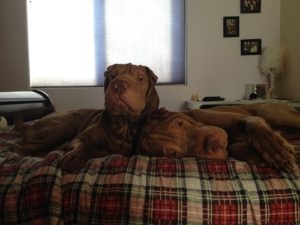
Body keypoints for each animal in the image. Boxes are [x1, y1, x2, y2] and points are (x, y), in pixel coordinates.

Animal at [14, 62, 159, 168]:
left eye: (141, 78)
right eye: (113, 75)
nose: (118, 85)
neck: (123, 124)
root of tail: (30, 126)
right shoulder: (82, 137)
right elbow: (83, 145)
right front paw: (74, 156)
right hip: (64, 125)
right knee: (21, 147)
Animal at [138, 104, 300, 172]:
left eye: (179, 123)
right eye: (173, 154)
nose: (213, 144)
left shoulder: (251, 119)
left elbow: (253, 124)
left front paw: (275, 150)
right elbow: (235, 147)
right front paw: (255, 156)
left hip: (274, 114)